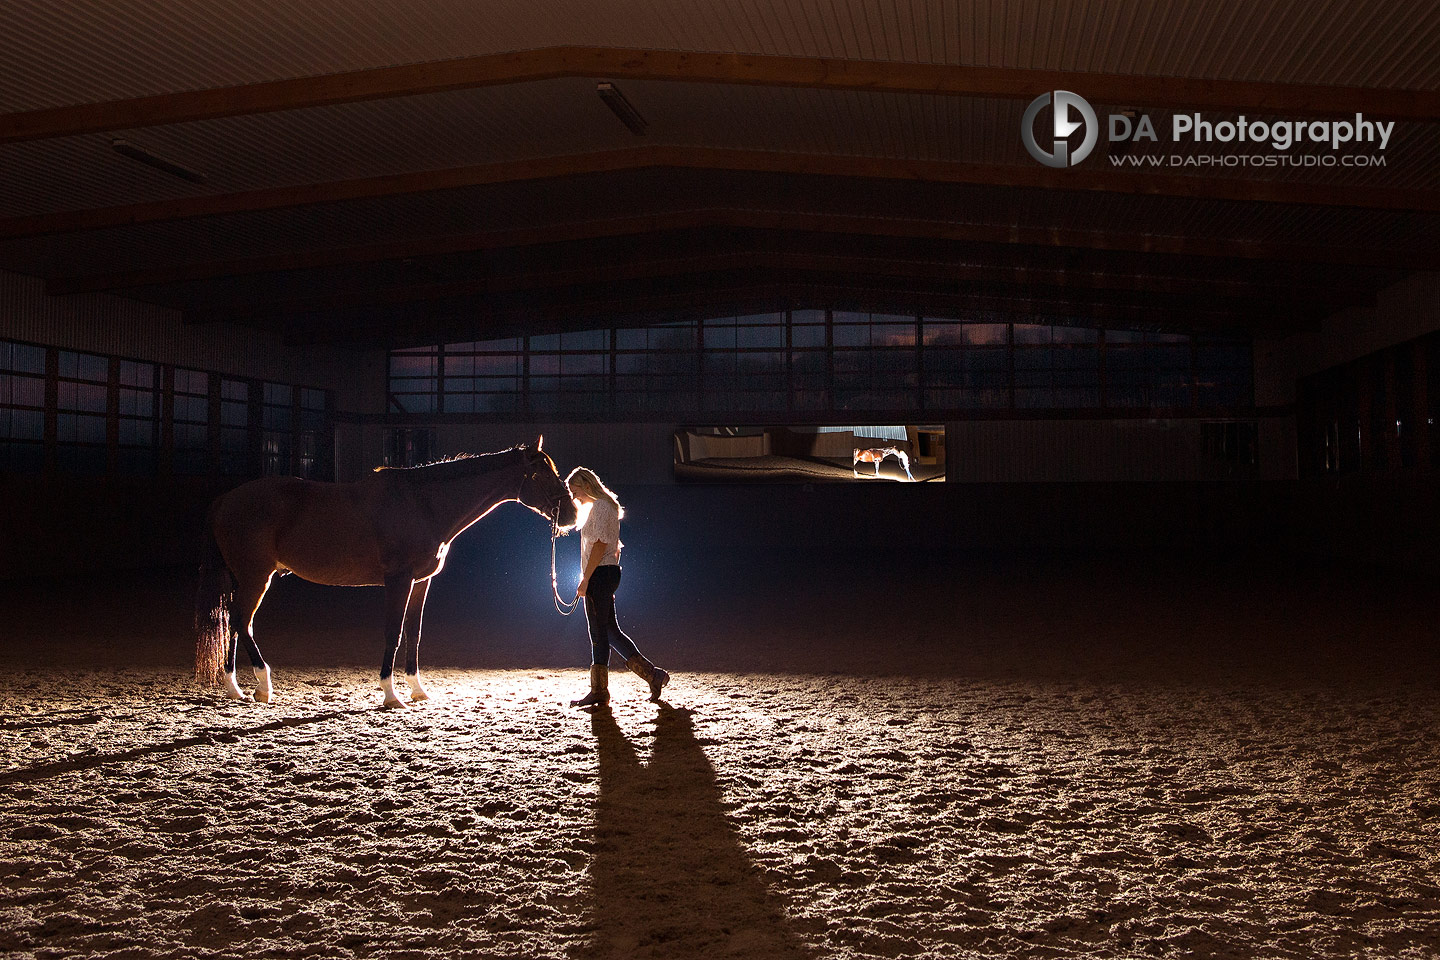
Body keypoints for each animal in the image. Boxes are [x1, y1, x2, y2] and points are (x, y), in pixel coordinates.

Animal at [197, 440, 578, 711]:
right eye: (541, 475)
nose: (573, 513)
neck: (423, 505)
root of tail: (224, 500)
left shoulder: (422, 582)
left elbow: (414, 633)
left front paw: (418, 689)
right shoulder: (399, 580)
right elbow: (393, 633)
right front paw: (390, 694)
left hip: (245, 578)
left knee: (234, 623)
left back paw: (235, 688)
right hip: (256, 576)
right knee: (242, 621)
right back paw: (262, 685)